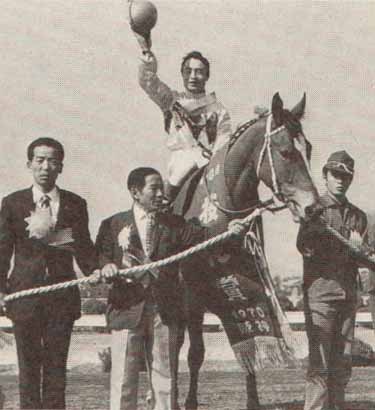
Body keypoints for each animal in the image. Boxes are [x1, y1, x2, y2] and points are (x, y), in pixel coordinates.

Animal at [171, 93, 320, 410]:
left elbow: (251, 348)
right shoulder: (191, 294)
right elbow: (194, 353)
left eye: (309, 150)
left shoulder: (248, 281)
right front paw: (188, 402)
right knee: (174, 344)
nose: (312, 208)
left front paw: (253, 400)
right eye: (286, 152)